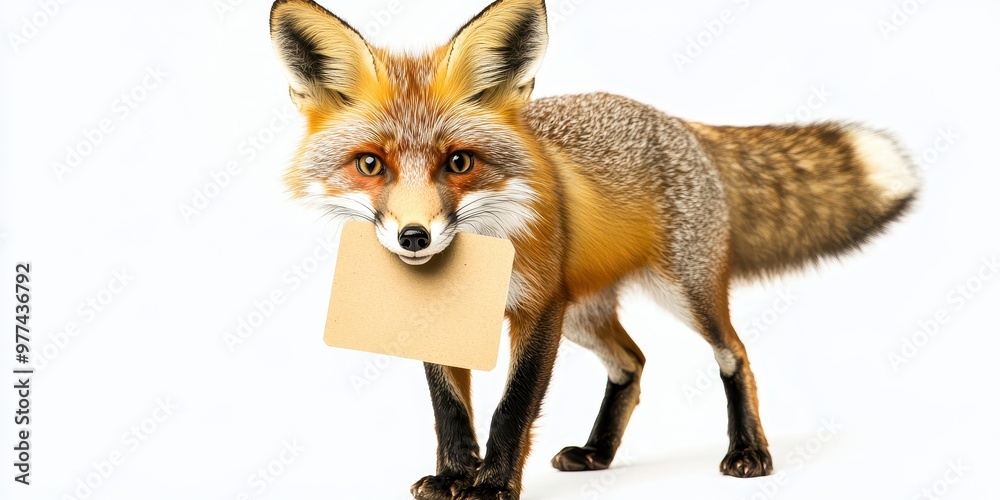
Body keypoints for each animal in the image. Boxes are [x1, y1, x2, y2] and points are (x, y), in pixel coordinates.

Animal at [268, 0, 920, 498]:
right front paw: (454, 476)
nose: (414, 237)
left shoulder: (539, 310)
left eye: (459, 163)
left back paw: (749, 451)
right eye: (370, 165)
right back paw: (598, 453)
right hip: (584, 313)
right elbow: (450, 411)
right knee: (631, 363)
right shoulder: (440, 322)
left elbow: (511, 407)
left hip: (680, 294)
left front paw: (492, 483)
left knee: (734, 354)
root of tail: (678, 123)